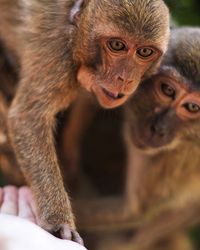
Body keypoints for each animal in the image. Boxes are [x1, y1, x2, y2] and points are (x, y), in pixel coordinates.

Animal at [0, 0, 170, 242]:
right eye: (117, 45)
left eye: (144, 51)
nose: (125, 79)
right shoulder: (57, 55)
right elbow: (27, 117)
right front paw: (58, 222)